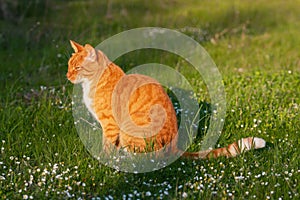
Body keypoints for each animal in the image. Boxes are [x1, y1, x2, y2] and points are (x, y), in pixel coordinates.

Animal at [66, 40, 264, 159]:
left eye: (77, 68)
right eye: (69, 66)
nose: (68, 76)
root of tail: (174, 148)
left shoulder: (110, 124)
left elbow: (106, 145)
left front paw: (103, 158)